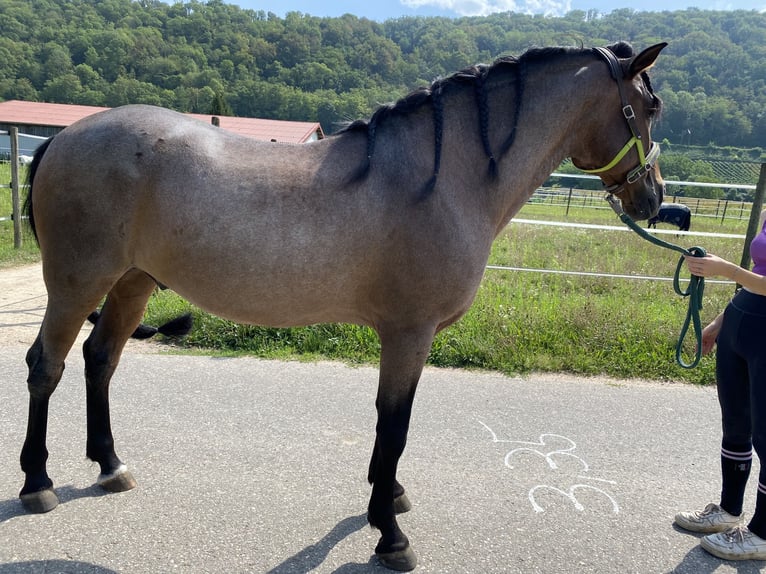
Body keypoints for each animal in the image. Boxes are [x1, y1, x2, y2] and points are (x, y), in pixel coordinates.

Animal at [18, 41, 664, 572]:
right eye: (651, 108)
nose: (654, 198)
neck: (439, 177)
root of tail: (61, 138)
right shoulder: (408, 332)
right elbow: (394, 424)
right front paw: (390, 534)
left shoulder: (405, 335)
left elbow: (389, 427)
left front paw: (389, 498)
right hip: (76, 284)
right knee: (46, 367)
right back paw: (37, 482)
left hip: (132, 282)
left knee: (100, 359)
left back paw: (110, 465)